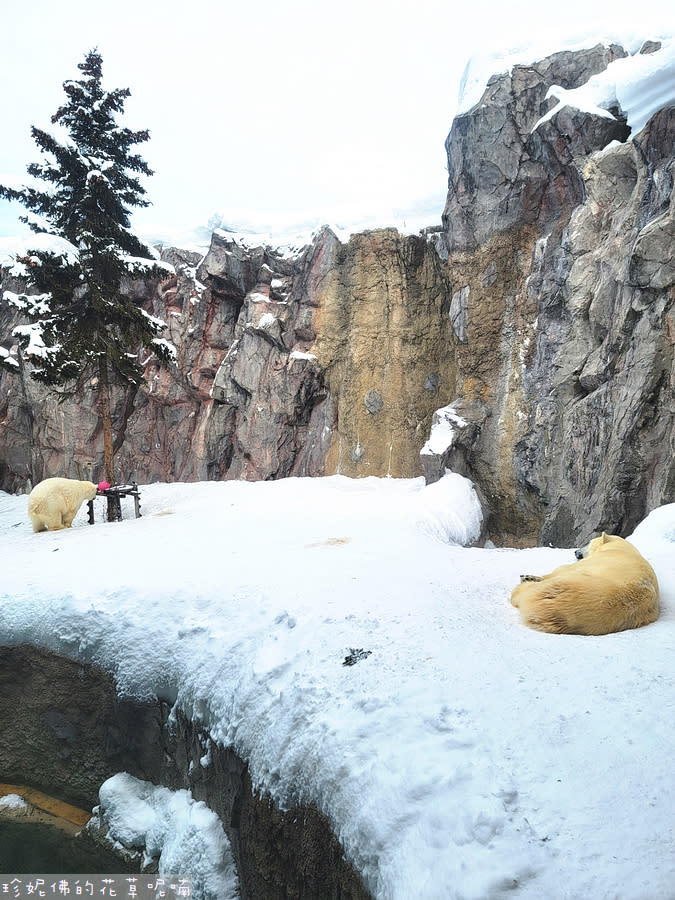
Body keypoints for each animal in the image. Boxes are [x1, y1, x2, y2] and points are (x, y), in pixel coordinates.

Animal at [512, 532, 660, 636]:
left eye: (588, 542)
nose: (575, 551)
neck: (620, 549)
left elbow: (561, 569)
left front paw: (529, 576)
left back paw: (525, 583)